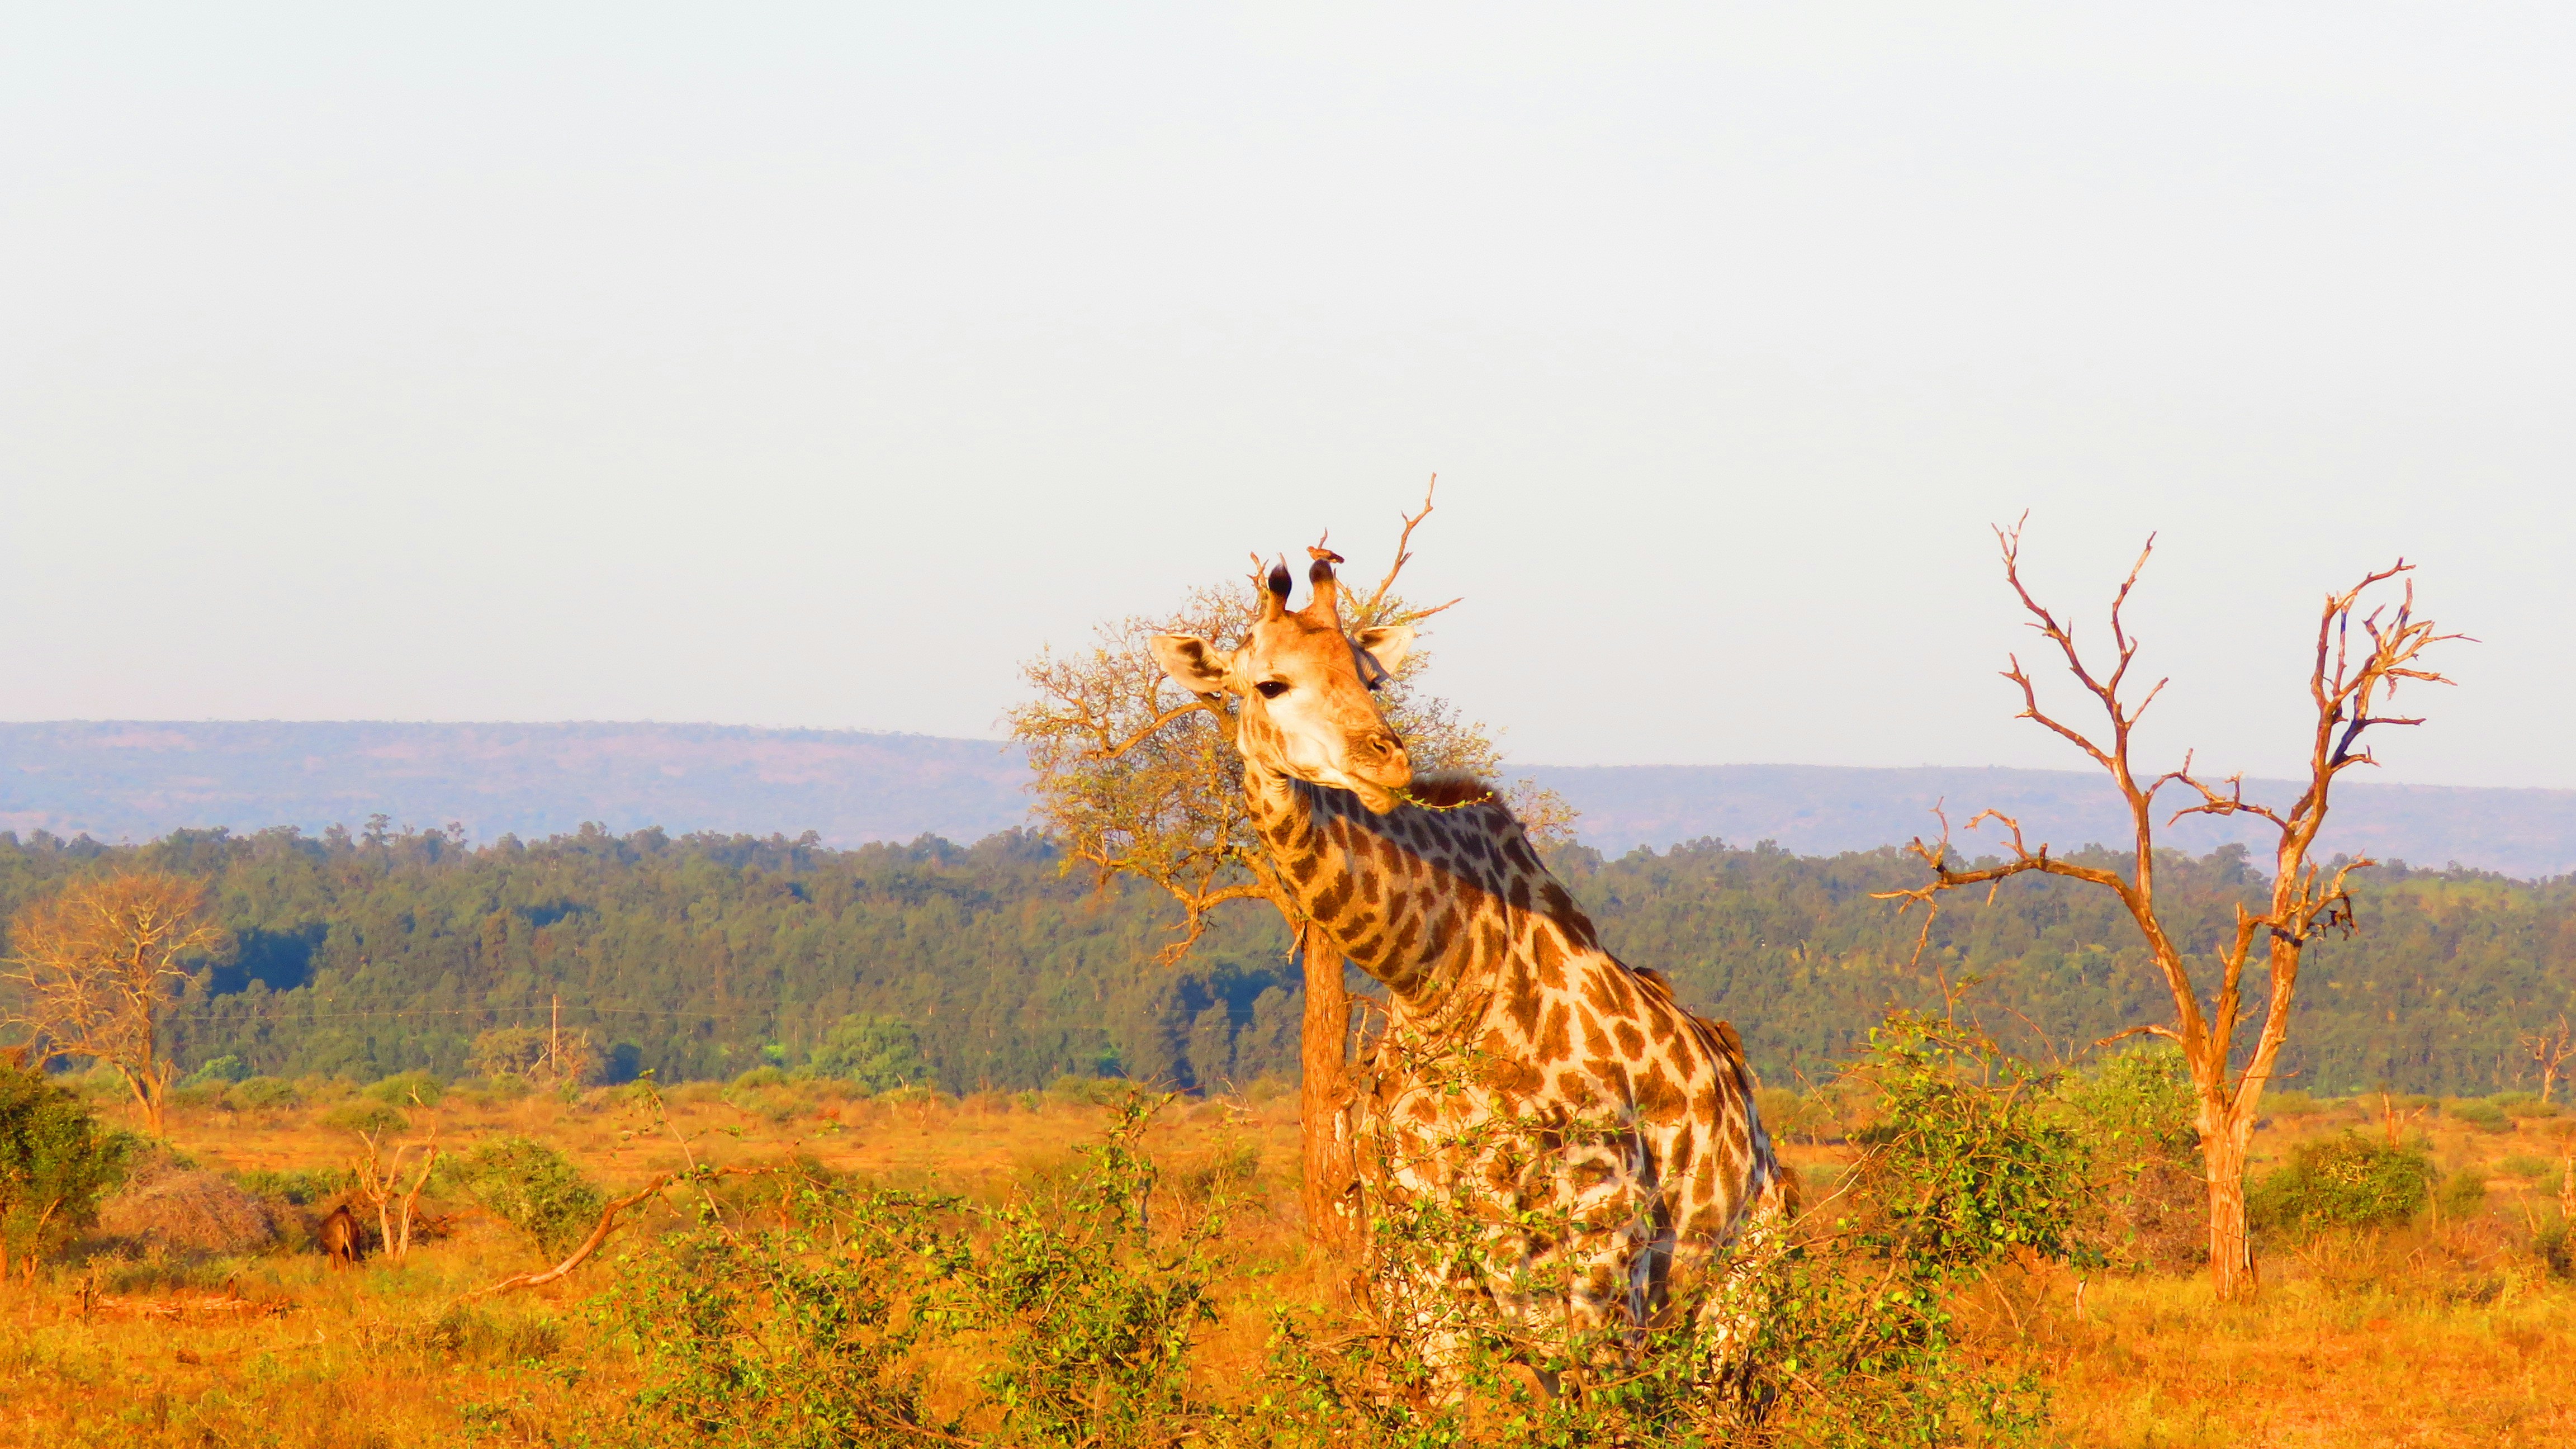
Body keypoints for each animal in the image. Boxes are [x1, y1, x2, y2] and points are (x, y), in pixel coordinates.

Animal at [1152, 551, 1789, 1388]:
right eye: (1269, 683)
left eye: (1372, 677)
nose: (1385, 758)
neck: (1441, 975)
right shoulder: (1421, 1259)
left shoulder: (1604, 1238)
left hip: (1738, 1290)